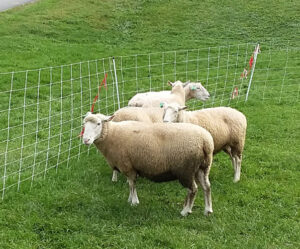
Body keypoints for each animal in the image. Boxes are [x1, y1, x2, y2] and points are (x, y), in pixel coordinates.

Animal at [81, 112, 214, 217]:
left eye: (99, 124)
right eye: (84, 124)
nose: (86, 140)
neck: (111, 135)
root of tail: (205, 142)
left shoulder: (128, 166)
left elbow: (132, 184)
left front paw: (134, 202)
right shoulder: (130, 167)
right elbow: (130, 185)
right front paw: (130, 199)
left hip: (186, 169)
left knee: (193, 189)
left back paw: (185, 211)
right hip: (203, 167)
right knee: (206, 187)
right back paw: (207, 210)